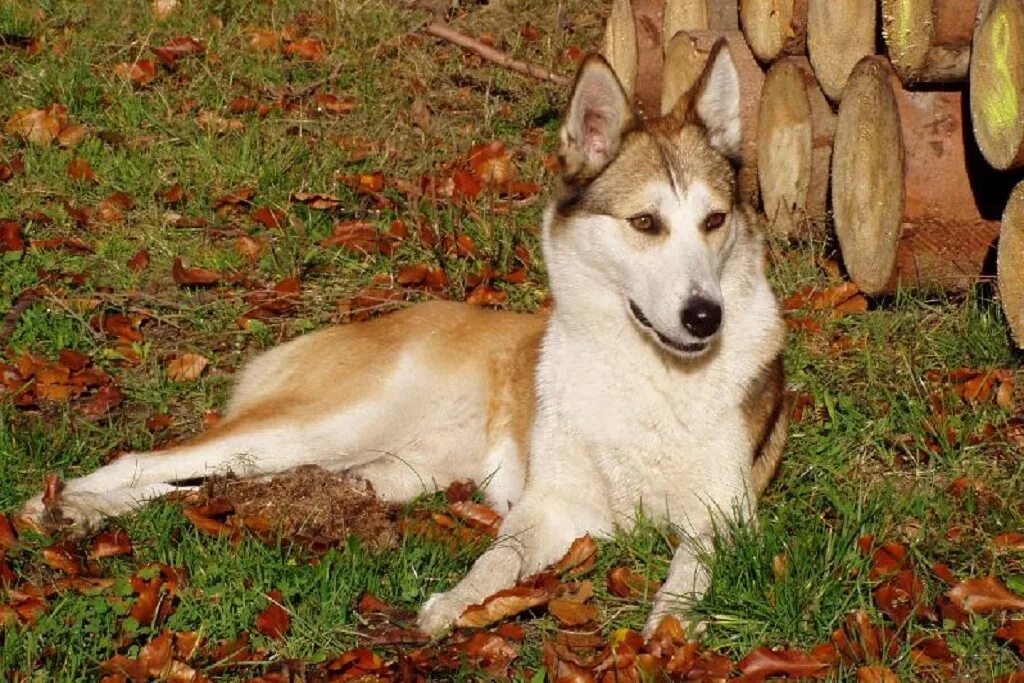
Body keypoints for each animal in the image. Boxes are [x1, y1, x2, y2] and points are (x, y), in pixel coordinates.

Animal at [19, 40, 786, 638]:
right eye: (645, 224)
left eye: (715, 221)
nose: (705, 316)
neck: (646, 372)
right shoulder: (549, 506)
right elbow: (498, 558)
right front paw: (457, 603)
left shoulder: (723, 519)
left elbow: (689, 573)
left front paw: (669, 630)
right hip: (324, 426)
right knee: (151, 460)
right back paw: (65, 505)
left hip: (362, 472)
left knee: (214, 490)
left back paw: (88, 513)